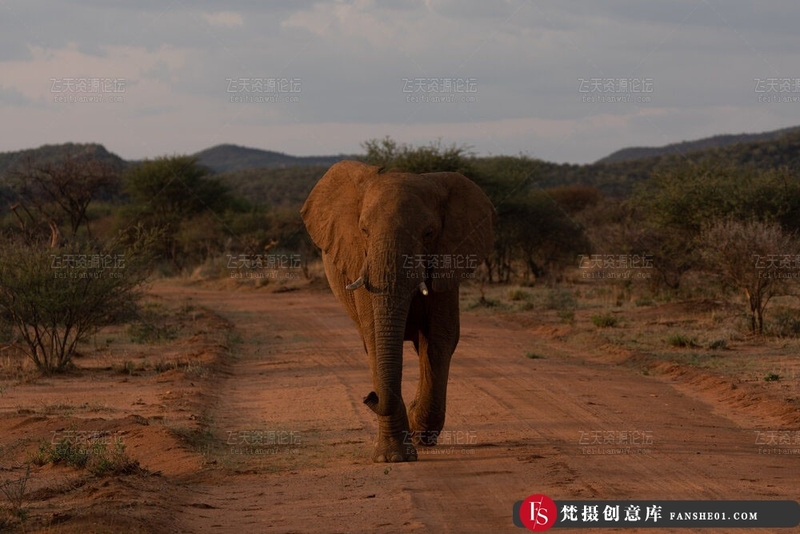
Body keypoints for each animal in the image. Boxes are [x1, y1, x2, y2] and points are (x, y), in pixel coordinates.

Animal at [300, 161, 494, 462]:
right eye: (363, 230)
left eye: (429, 233)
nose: (368, 397)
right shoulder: (361, 264)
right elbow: (375, 341)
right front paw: (392, 457)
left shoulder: (446, 261)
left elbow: (440, 339)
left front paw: (418, 431)